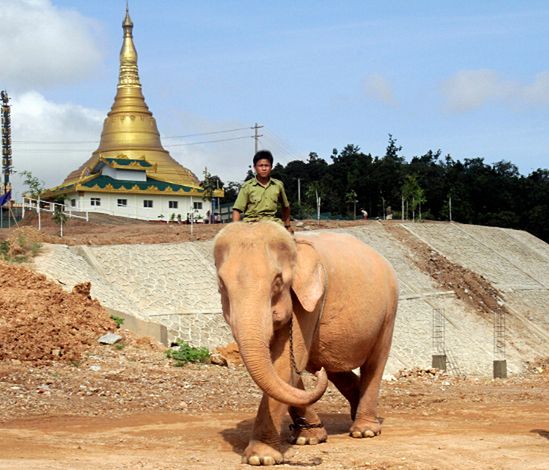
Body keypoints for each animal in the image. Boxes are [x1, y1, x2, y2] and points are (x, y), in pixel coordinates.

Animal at [214, 222, 398, 464]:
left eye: (278, 281)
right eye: (221, 285)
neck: (294, 246)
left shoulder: (310, 302)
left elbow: (288, 362)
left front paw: (260, 458)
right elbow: (285, 367)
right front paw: (308, 439)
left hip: (389, 312)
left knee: (375, 363)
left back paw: (364, 430)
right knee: (332, 367)